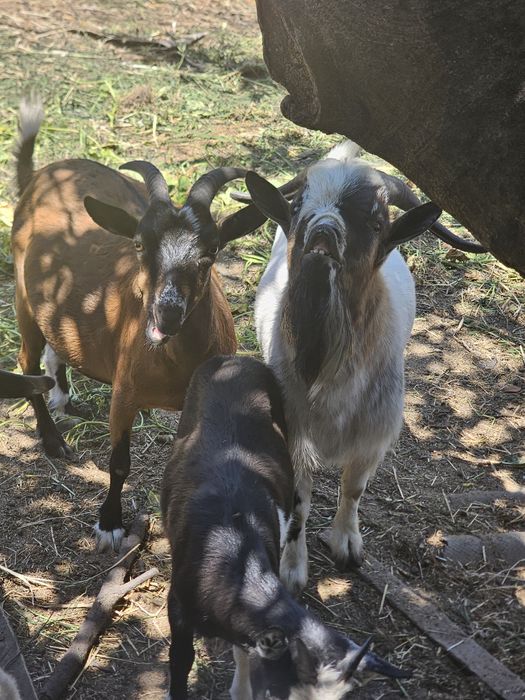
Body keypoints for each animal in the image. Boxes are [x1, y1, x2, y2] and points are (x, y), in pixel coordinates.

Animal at [11, 96, 267, 552]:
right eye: (139, 245)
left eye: (211, 252)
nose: (166, 313)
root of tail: (39, 175)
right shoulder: (125, 392)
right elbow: (118, 463)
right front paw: (110, 523)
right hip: (24, 298)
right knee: (27, 359)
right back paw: (54, 440)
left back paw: (66, 398)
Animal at [161, 354, 408, 700]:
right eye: (285, 692)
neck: (235, 550)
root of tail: (235, 358)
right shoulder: (178, 608)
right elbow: (181, 659)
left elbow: (243, 650)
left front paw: (241, 690)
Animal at [246, 141, 481, 592]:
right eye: (298, 208)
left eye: (374, 221)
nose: (322, 232)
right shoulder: (293, 431)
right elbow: (299, 504)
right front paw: (293, 567)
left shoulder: (373, 434)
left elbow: (353, 489)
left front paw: (347, 544)